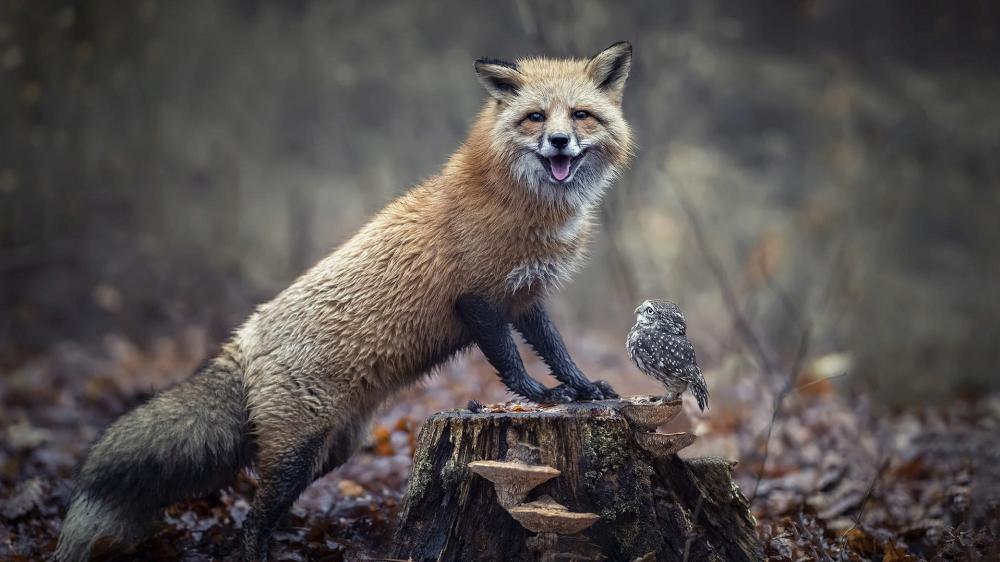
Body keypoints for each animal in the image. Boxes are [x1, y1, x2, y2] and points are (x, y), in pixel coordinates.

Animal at [55, 41, 635, 562]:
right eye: (535, 117)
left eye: (580, 115)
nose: (559, 141)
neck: (526, 209)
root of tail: (244, 340)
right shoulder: (478, 299)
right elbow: (512, 364)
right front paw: (542, 396)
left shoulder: (525, 297)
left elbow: (558, 351)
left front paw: (585, 389)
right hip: (297, 452)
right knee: (251, 520)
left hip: (330, 451)